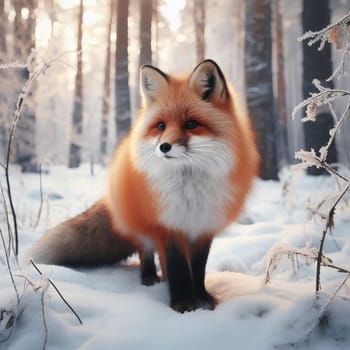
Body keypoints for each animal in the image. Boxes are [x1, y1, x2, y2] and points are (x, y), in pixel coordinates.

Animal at [29, 59, 260, 312]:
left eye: (191, 124)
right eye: (160, 126)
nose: (164, 147)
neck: (190, 189)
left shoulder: (203, 225)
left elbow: (198, 269)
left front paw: (202, 298)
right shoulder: (167, 224)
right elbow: (179, 266)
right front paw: (183, 303)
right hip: (144, 227)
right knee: (146, 253)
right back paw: (150, 278)